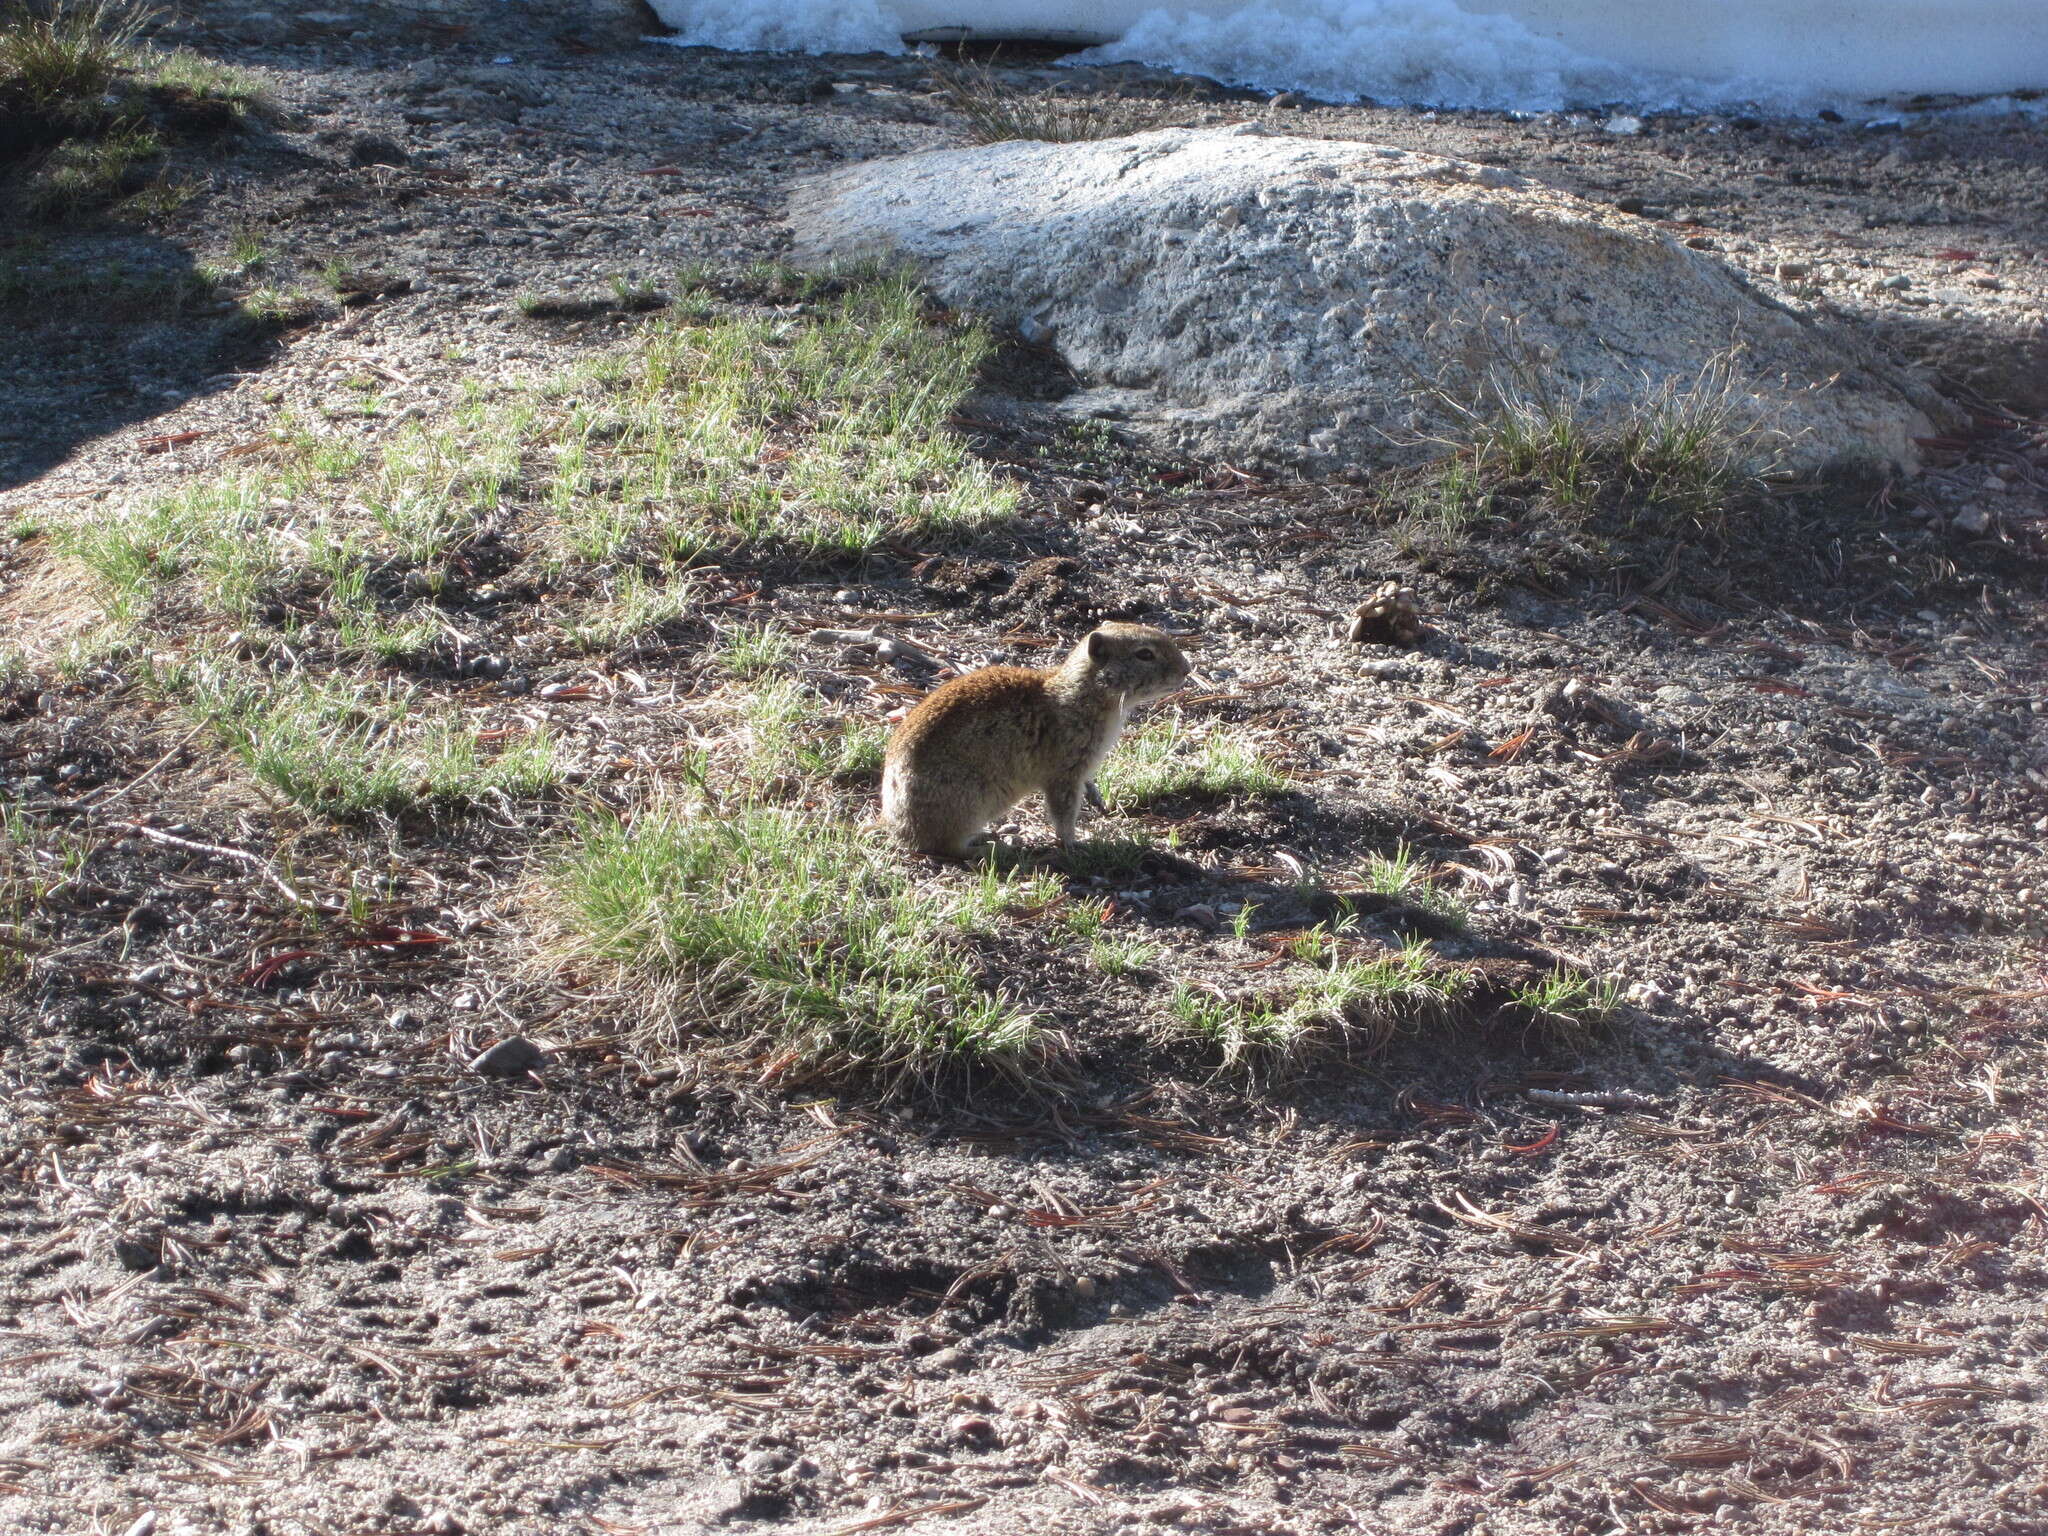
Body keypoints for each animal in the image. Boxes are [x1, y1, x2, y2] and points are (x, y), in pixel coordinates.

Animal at [876, 626, 1187, 868]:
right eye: (1144, 654)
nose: (1187, 669)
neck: (1083, 692)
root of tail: (898, 829)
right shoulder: (1066, 774)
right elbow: (1064, 814)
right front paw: (1074, 845)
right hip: (971, 804)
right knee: (943, 846)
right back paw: (993, 848)